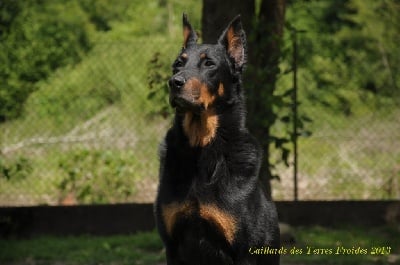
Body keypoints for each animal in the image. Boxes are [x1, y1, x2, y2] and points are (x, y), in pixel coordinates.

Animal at [155, 14, 280, 264]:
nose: (174, 82)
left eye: (209, 64)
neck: (201, 148)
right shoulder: (172, 246)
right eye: (178, 64)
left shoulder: (244, 251)